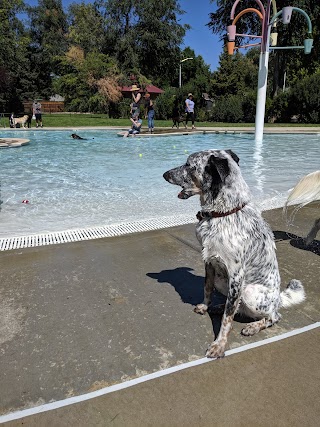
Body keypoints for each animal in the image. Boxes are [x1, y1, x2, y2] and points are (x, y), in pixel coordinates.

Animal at [164, 150, 306, 358]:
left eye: (189, 165)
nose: (164, 174)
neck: (223, 213)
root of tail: (279, 298)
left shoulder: (237, 275)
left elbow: (227, 320)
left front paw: (219, 345)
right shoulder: (210, 262)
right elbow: (207, 289)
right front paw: (206, 306)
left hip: (249, 291)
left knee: (273, 316)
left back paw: (253, 326)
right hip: (222, 281)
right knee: (236, 306)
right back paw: (218, 307)